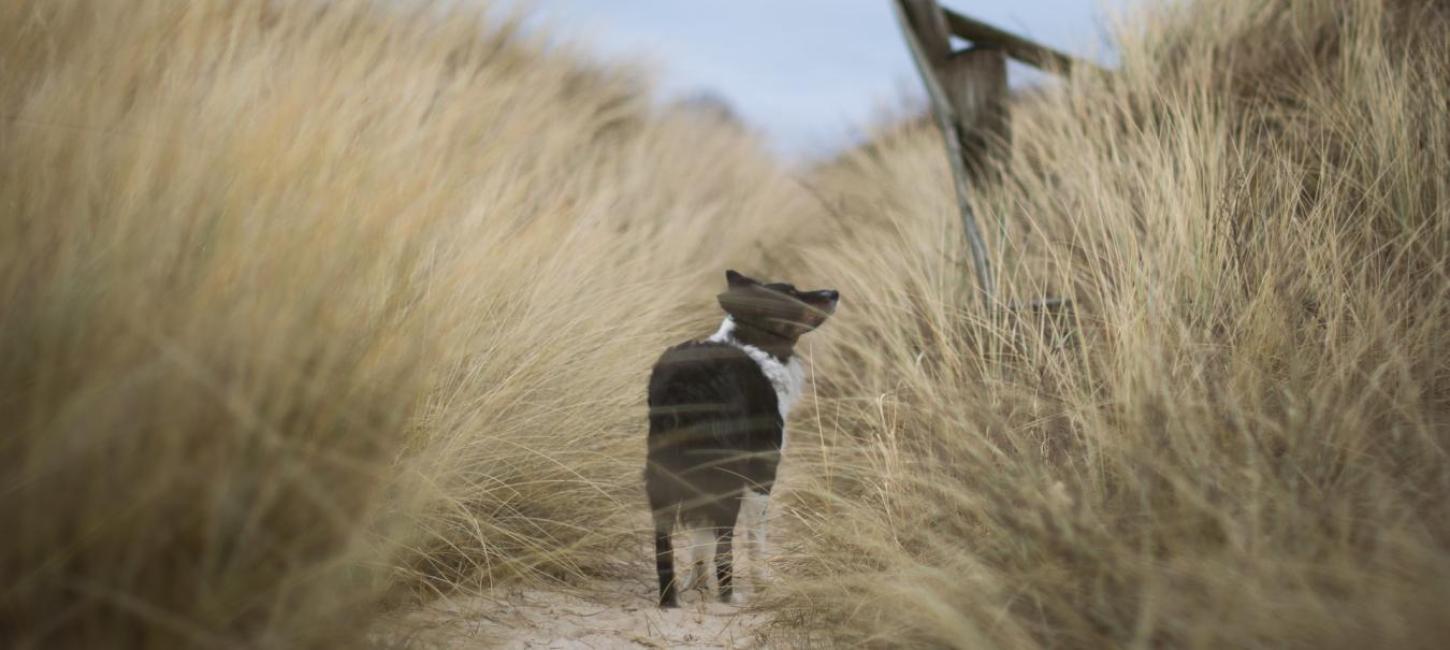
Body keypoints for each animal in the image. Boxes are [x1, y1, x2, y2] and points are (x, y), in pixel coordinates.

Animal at [646, 271, 841, 606]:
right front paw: (761, 583)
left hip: (661, 473)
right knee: (725, 542)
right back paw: (728, 596)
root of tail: (685, 384)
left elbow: (700, 541)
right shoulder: (762, 472)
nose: (834, 292)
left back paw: (669, 599)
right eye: (791, 294)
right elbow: (754, 537)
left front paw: (697, 583)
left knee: (664, 543)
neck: (754, 342)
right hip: (728, 472)